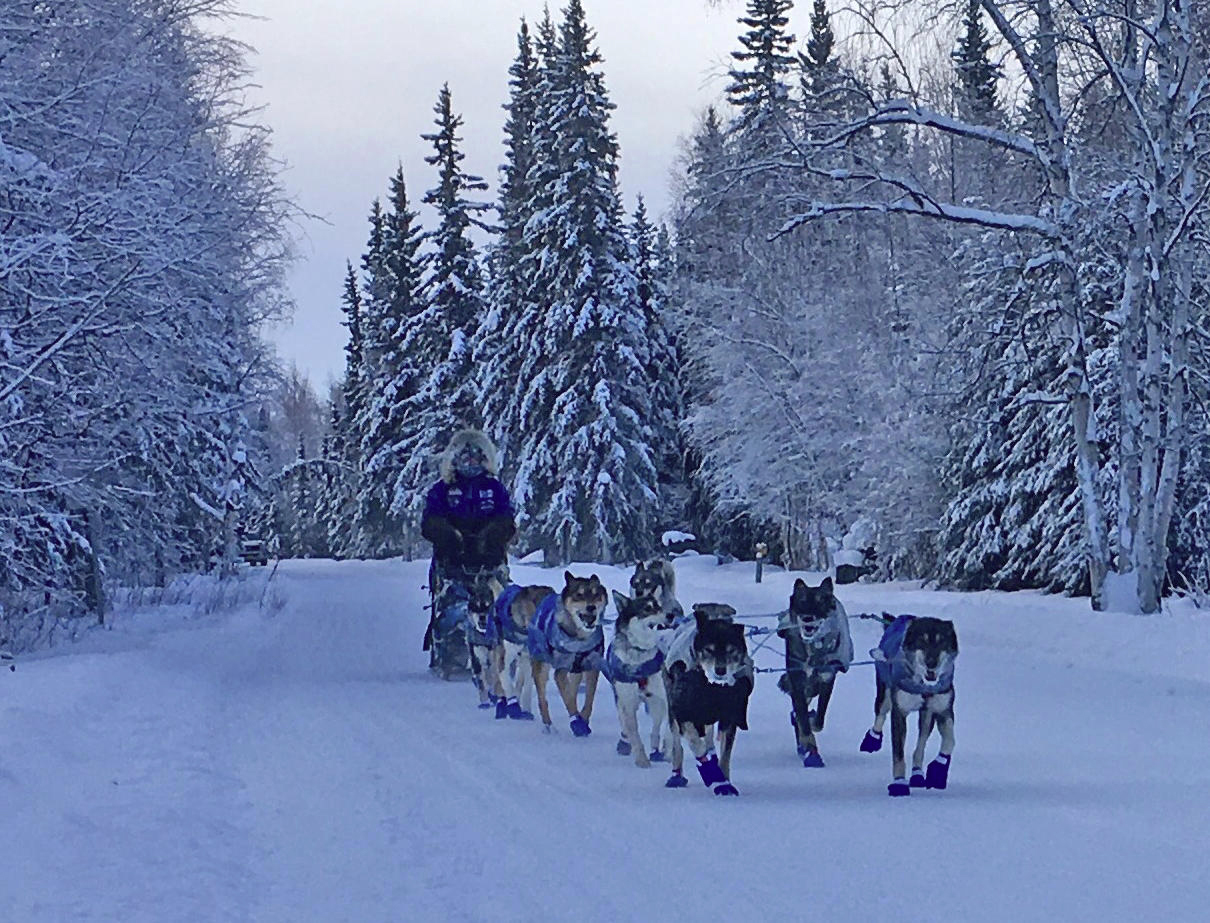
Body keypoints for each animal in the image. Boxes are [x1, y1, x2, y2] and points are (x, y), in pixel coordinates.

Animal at [527, 570, 605, 735]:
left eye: (596, 594)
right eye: (579, 595)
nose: (591, 607)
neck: (580, 639)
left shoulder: (592, 667)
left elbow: (589, 698)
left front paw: (583, 720)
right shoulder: (561, 670)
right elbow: (568, 698)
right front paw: (577, 722)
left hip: (577, 672)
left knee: (573, 688)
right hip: (540, 664)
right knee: (542, 698)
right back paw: (548, 725)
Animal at [605, 595, 672, 769]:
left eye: (659, 605)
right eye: (647, 608)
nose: (671, 615)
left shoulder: (665, 697)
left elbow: (668, 730)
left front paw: (668, 751)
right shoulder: (627, 702)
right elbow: (634, 733)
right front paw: (641, 760)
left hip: (655, 703)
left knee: (656, 727)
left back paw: (657, 749)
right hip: (621, 700)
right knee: (625, 725)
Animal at [663, 607, 755, 793]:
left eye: (731, 650)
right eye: (709, 649)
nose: (720, 670)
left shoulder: (729, 717)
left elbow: (725, 755)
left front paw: (724, 782)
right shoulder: (685, 716)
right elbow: (695, 744)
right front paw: (711, 772)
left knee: (709, 739)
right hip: (674, 713)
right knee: (678, 744)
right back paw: (677, 775)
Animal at [866, 614, 958, 793]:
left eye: (941, 641)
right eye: (921, 641)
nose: (931, 663)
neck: (923, 685)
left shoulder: (943, 709)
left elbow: (950, 740)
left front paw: (938, 769)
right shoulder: (899, 712)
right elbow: (898, 753)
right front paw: (899, 783)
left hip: (927, 715)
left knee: (921, 743)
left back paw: (917, 774)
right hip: (885, 694)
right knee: (880, 714)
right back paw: (872, 739)